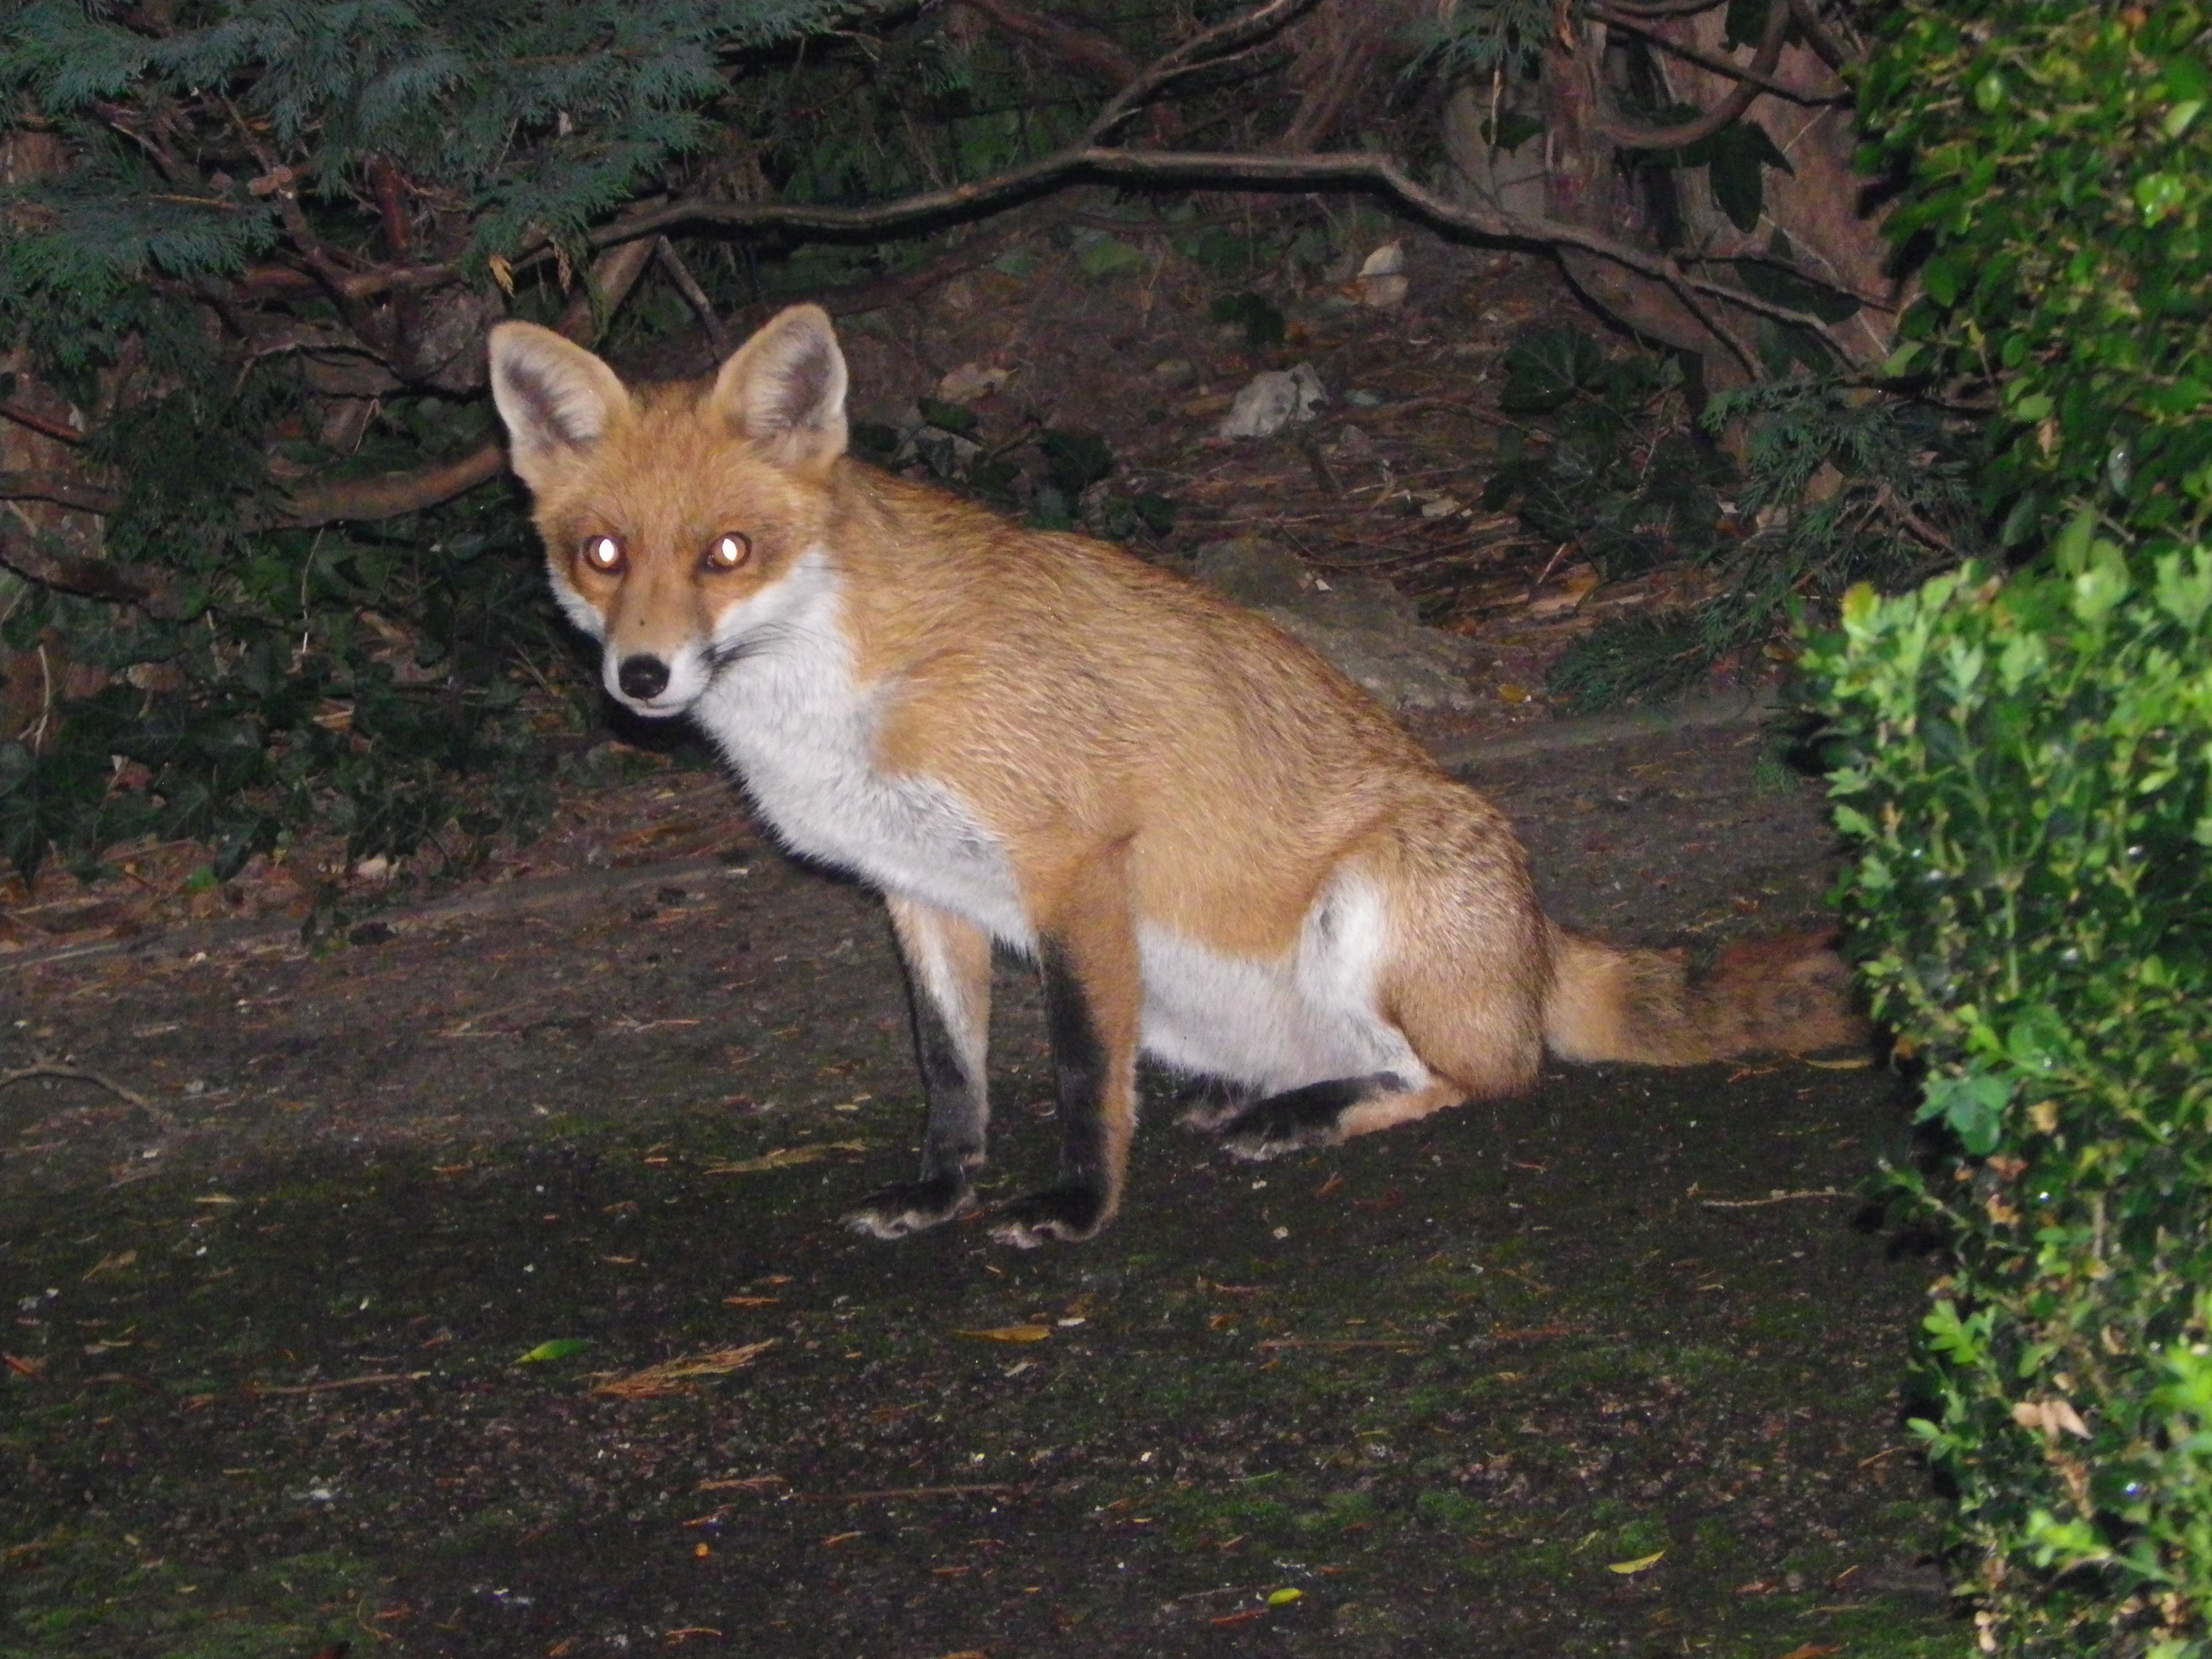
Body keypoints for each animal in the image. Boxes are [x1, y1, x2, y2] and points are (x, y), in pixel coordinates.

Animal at [486, 303, 1861, 1247]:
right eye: (603, 554)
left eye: (727, 552)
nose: (643, 679)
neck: (836, 695)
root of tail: (1538, 939)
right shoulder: (916, 891)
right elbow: (949, 1074)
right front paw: (939, 1192)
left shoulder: (1073, 864)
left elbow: (1080, 1069)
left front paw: (1077, 1209)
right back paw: (1272, 1103)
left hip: (1367, 907)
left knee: (1482, 1077)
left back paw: (1302, 1119)